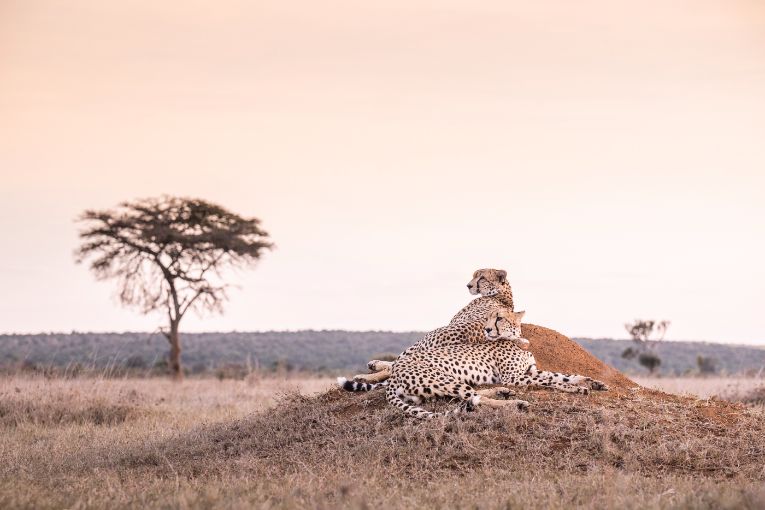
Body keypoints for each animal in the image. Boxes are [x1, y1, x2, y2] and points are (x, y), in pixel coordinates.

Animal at [374, 308, 609, 419]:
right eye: (487, 319)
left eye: (499, 318)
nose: (487, 329)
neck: (517, 341)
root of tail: (394, 375)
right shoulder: (515, 377)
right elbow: (553, 381)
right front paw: (576, 388)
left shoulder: (531, 370)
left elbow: (563, 375)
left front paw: (594, 383)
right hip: (443, 379)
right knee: (475, 399)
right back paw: (515, 403)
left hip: (433, 390)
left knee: (472, 395)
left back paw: (501, 392)